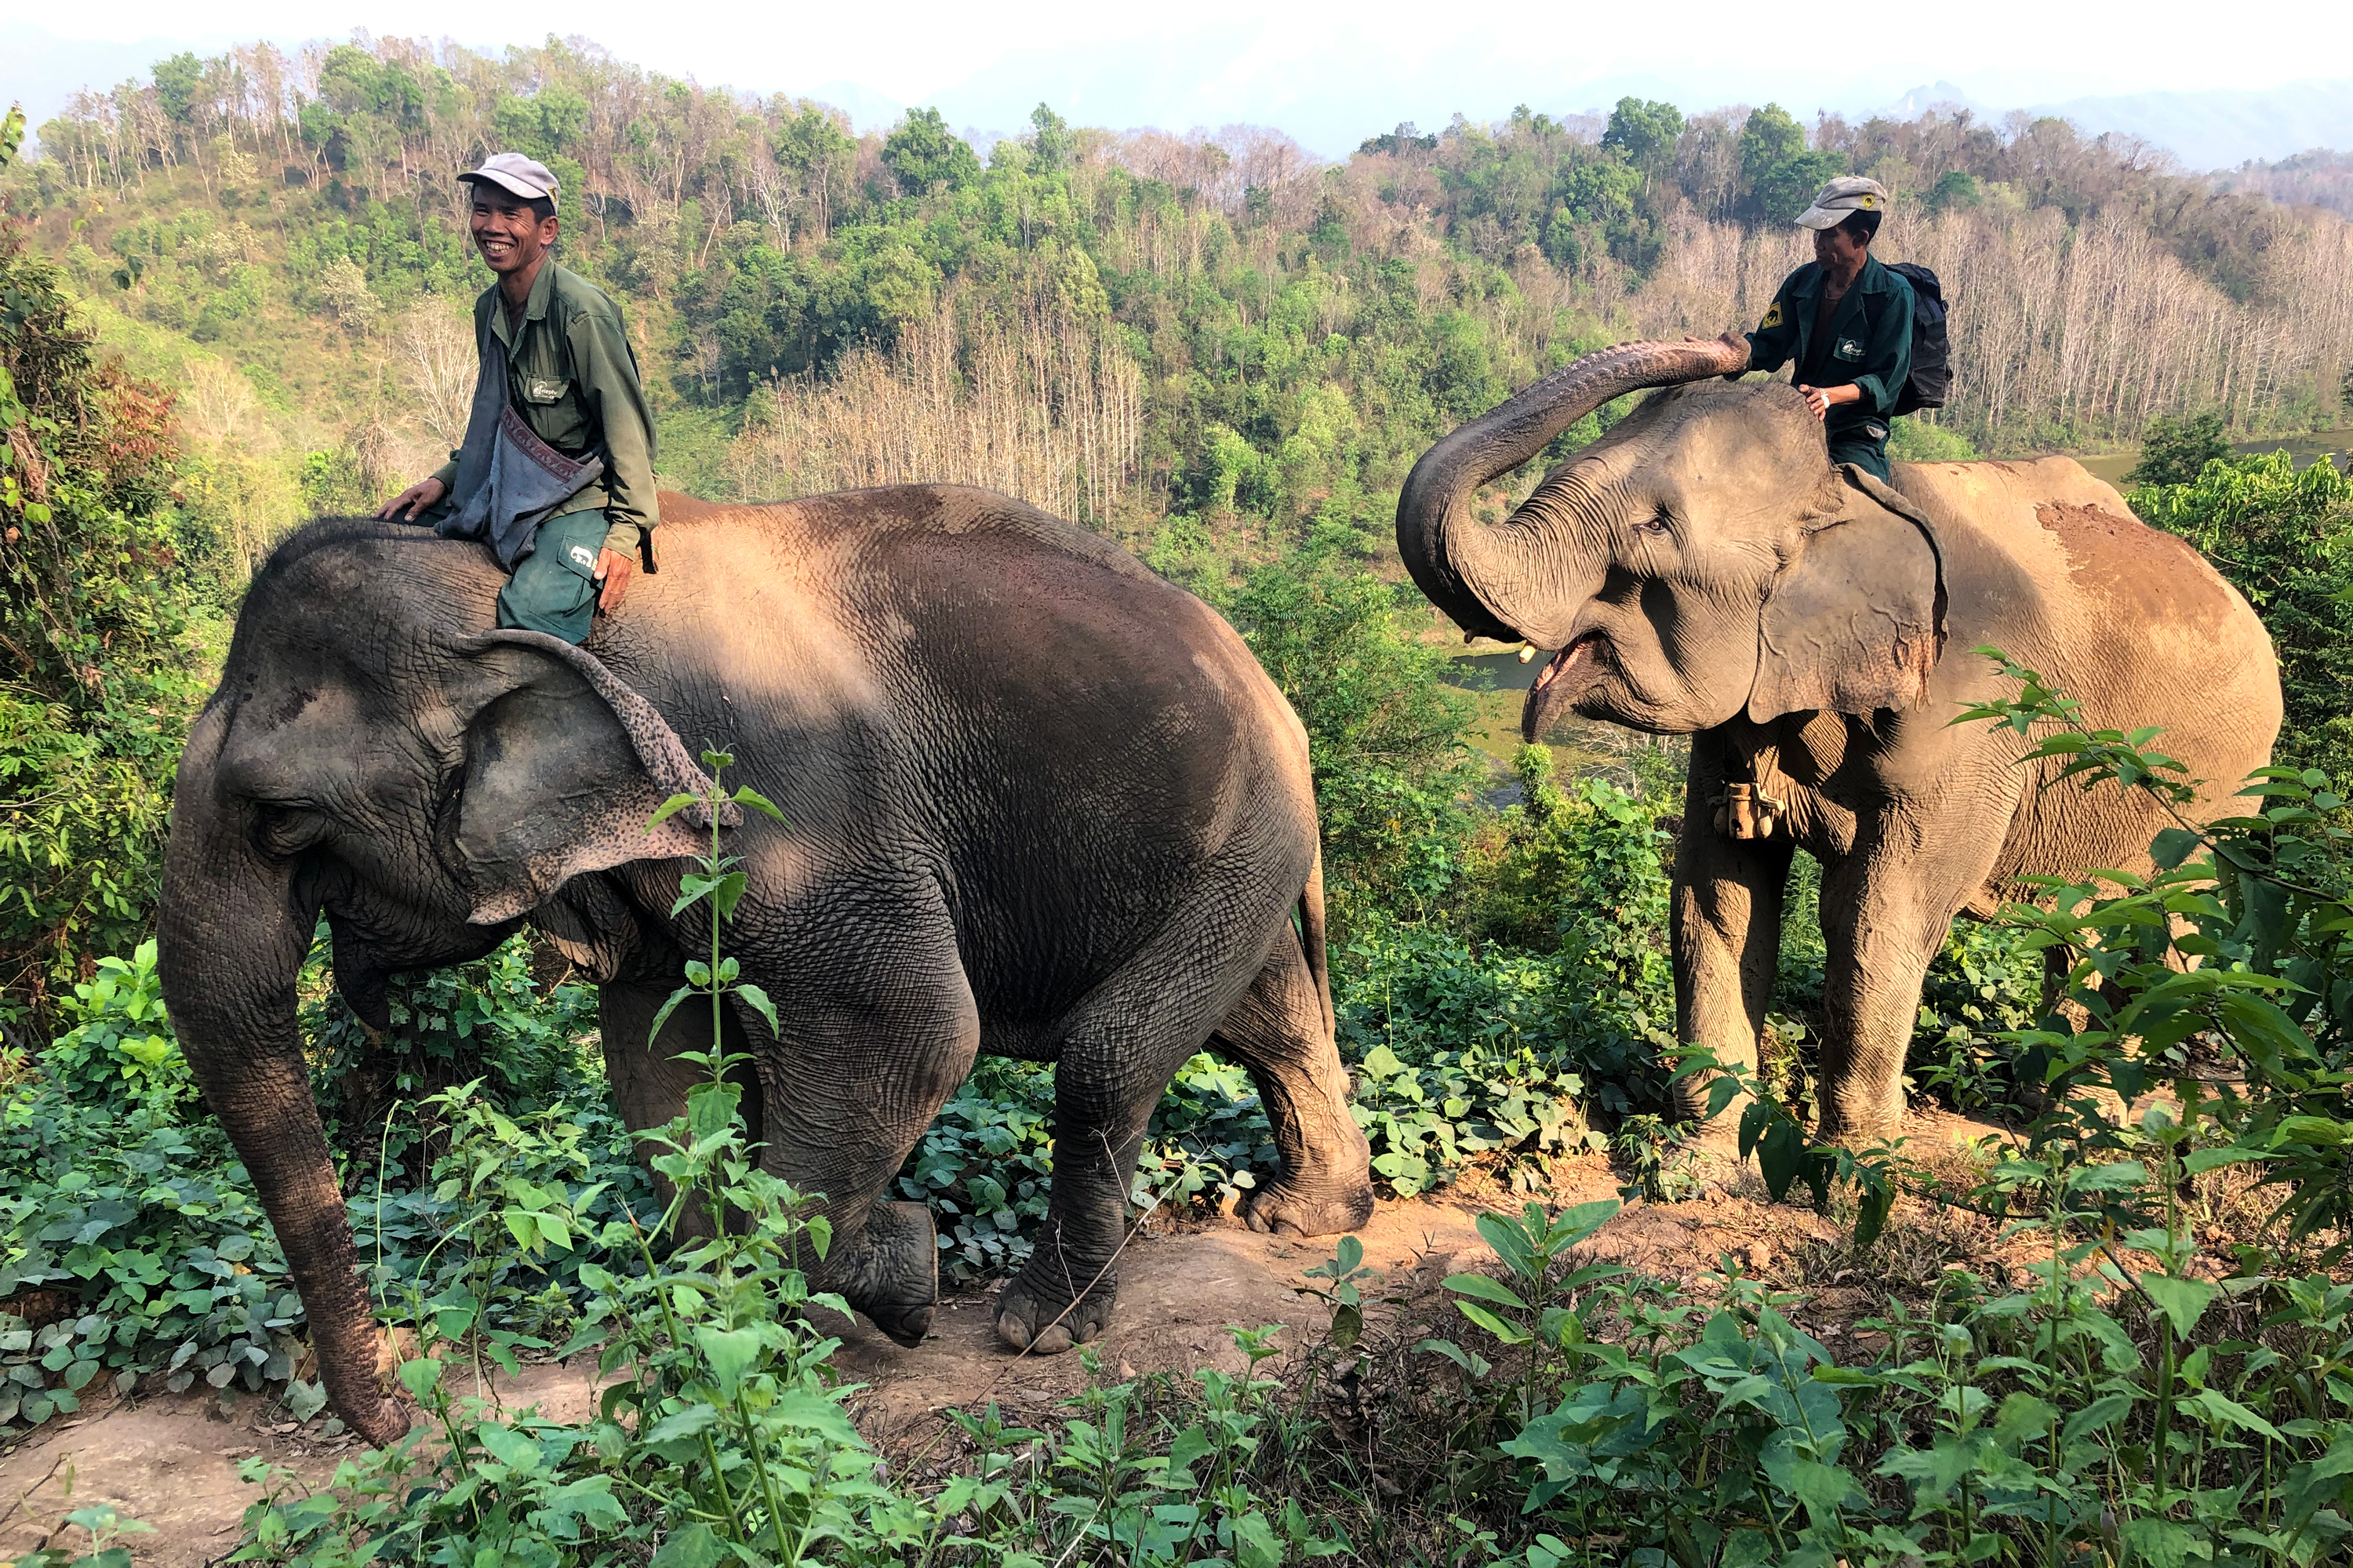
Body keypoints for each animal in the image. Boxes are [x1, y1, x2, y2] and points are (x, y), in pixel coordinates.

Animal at [156, 487, 1376, 1446]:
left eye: (283, 818)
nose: (407, 1408)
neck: (505, 587)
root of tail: (1280, 698)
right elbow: (656, 1072)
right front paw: (728, 1322)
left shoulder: (789, 801)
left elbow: (910, 1025)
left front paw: (899, 1276)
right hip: (1236, 849)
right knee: (1268, 1017)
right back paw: (1313, 1214)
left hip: (1243, 831)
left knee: (1108, 1056)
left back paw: (1043, 1324)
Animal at [1396, 335, 2281, 1141]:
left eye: (1653, 526)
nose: (1729, 343)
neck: (1842, 495)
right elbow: (1715, 892)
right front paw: (1709, 1148)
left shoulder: (1973, 718)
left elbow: (1879, 915)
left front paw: (1859, 1158)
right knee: (2093, 923)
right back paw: (2049, 1105)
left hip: (2215, 791)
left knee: (2167, 928)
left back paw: (2097, 1126)